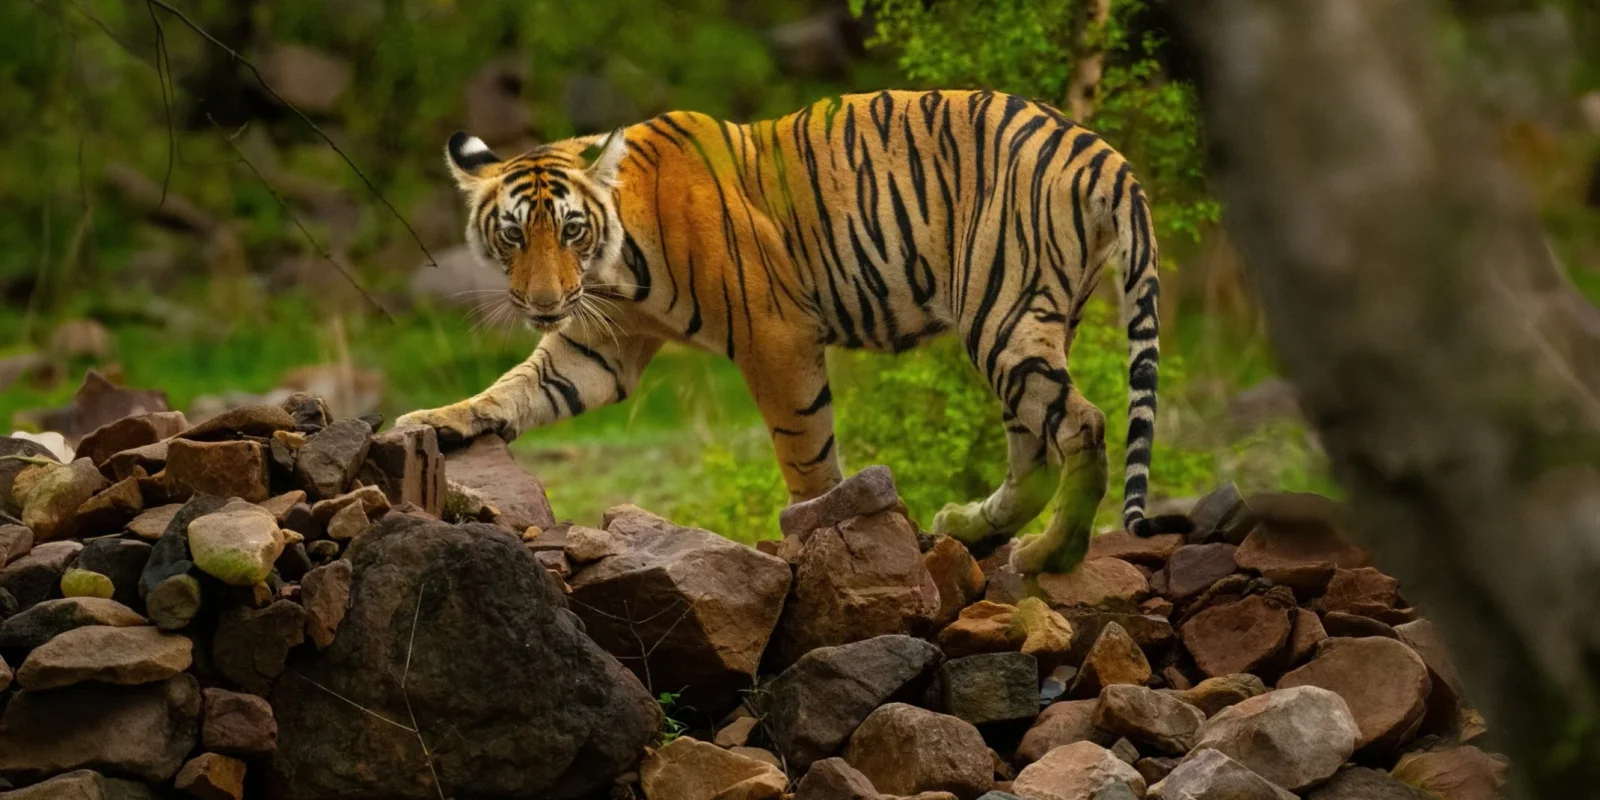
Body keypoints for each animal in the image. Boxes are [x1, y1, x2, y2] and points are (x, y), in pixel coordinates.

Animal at [396, 89, 1185, 581]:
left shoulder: (773, 335)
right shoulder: (601, 346)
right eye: (511, 235)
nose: (543, 301)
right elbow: (516, 388)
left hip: (1003, 310)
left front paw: (824, 533)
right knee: (1036, 446)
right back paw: (973, 526)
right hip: (1025, 323)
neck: (613, 264)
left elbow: (806, 453)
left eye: (569, 230)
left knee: (1082, 425)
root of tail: (1100, 152)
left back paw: (1051, 555)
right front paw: (431, 420)